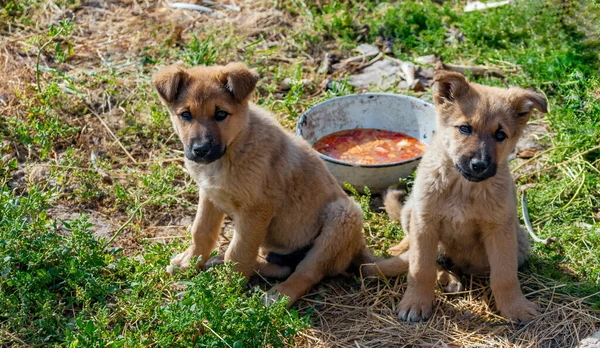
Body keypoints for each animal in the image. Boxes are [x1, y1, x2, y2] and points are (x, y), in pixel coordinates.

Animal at [151, 62, 376, 304]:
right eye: (186, 115)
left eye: (220, 114)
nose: (200, 150)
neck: (233, 149)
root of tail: (360, 246)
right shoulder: (209, 195)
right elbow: (201, 231)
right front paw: (189, 262)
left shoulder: (256, 211)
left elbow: (238, 252)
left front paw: (225, 292)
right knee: (284, 268)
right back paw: (224, 263)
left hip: (342, 218)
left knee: (307, 272)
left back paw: (278, 297)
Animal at [368, 70, 548, 324]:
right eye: (464, 128)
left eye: (500, 135)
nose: (479, 165)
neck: (463, 188)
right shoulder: (425, 223)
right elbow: (420, 268)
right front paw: (416, 303)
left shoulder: (500, 229)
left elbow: (505, 276)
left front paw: (515, 307)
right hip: (413, 211)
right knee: (418, 248)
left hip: (519, 242)